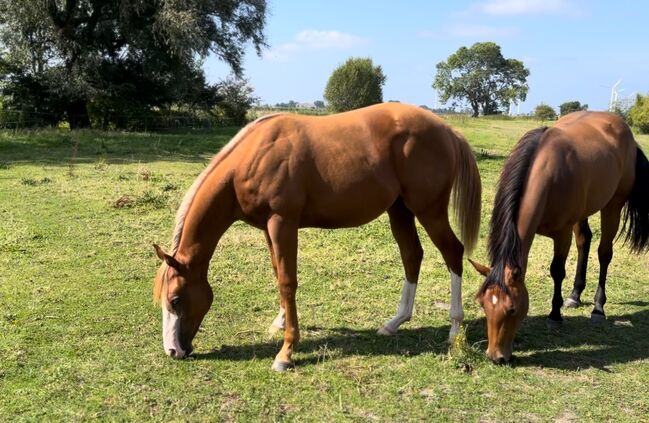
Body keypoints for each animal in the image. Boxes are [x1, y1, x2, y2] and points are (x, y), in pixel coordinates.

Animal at [152, 102, 480, 372]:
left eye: (176, 299)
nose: (173, 351)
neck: (252, 157)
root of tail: (447, 130)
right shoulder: (268, 229)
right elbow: (278, 273)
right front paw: (280, 321)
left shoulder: (282, 223)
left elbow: (288, 281)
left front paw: (286, 352)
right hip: (399, 210)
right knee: (412, 255)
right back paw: (394, 323)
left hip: (429, 211)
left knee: (453, 252)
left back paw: (454, 330)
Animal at [470, 112, 648, 364]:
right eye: (484, 305)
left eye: (512, 309)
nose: (496, 357)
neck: (548, 171)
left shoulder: (562, 234)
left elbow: (557, 271)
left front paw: (555, 315)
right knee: (585, 241)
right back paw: (574, 295)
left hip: (613, 205)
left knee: (604, 253)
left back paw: (598, 308)